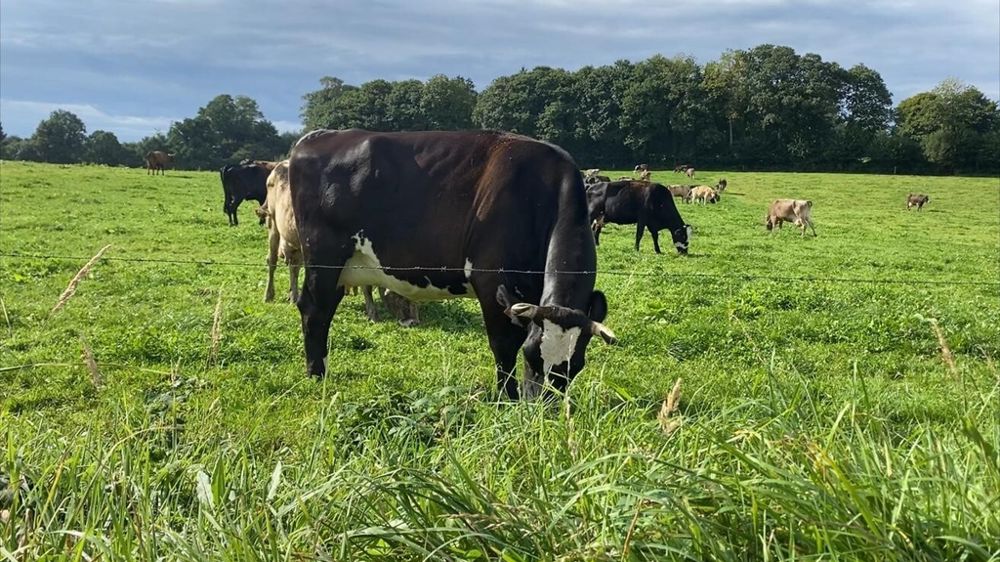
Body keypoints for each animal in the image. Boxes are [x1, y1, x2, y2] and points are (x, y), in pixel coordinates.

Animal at [288, 129, 616, 399]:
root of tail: (319, 136)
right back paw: (317, 375)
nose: (543, 409)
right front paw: (506, 398)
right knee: (314, 309)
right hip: (323, 259)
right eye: (531, 355)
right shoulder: (492, 281)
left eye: (575, 366)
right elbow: (503, 345)